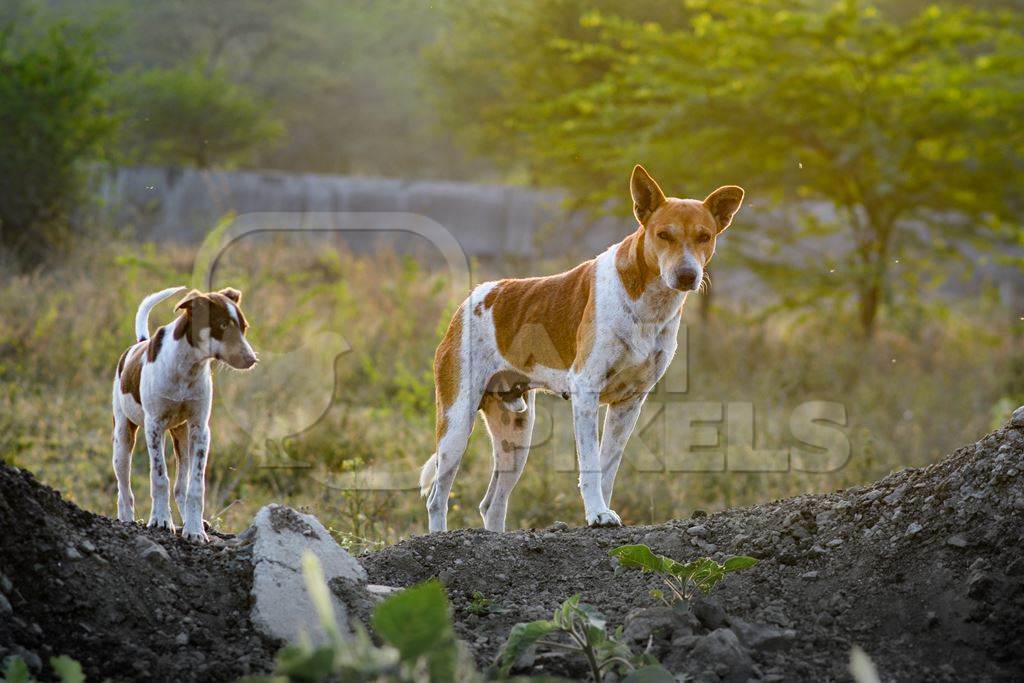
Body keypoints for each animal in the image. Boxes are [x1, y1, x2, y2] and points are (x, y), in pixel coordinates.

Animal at [110, 286, 256, 540]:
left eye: (244, 327)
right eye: (222, 325)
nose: (252, 359)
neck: (187, 366)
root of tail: (139, 343)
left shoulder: (200, 428)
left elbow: (195, 486)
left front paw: (195, 529)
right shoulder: (154, 426)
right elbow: (159, 477)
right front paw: (160, 520)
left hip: (183, 436)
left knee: (181, 486)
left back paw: (189, 519)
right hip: (123, 438)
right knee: (124, 487)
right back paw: (127, 519)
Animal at [417, 165, 745, 532]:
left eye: (705, 236)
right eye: (664, 235)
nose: (687, 275)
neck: (648, 305)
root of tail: (470, 301)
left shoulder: (629, 402)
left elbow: (607, 467)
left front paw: (602, 511)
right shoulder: (586, 391)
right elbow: (590, 464)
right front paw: (597, 513)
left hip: (516, 433)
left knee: (492, 504)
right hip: (457, 424)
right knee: (437, 496)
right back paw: (438, 535)